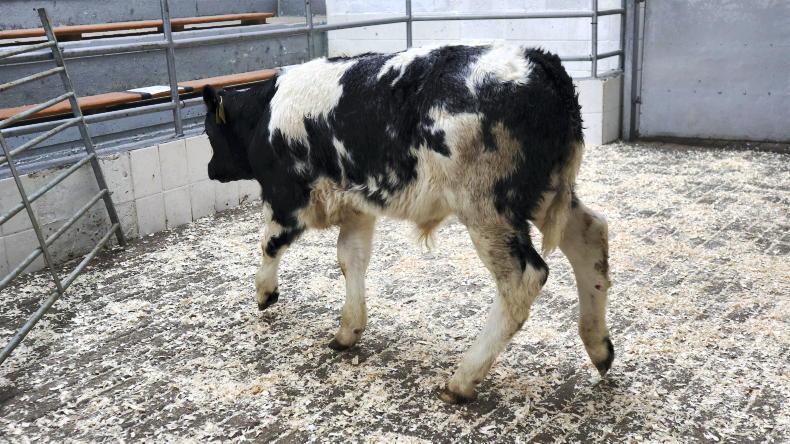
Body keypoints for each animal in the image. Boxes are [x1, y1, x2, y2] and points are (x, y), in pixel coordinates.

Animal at [202, 42, 613, 404]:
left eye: (208, 131)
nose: (209, 170)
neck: (265, 113)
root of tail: (539, 62)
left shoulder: (286, 197)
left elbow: (269, 244)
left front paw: (265, 293)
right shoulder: (357, 206)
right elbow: (350, 260)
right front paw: (348, 329)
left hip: (488, 210)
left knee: (522, 278)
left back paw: (462, 380)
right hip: (544, 195)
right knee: (591, 236)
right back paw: (599, 348)